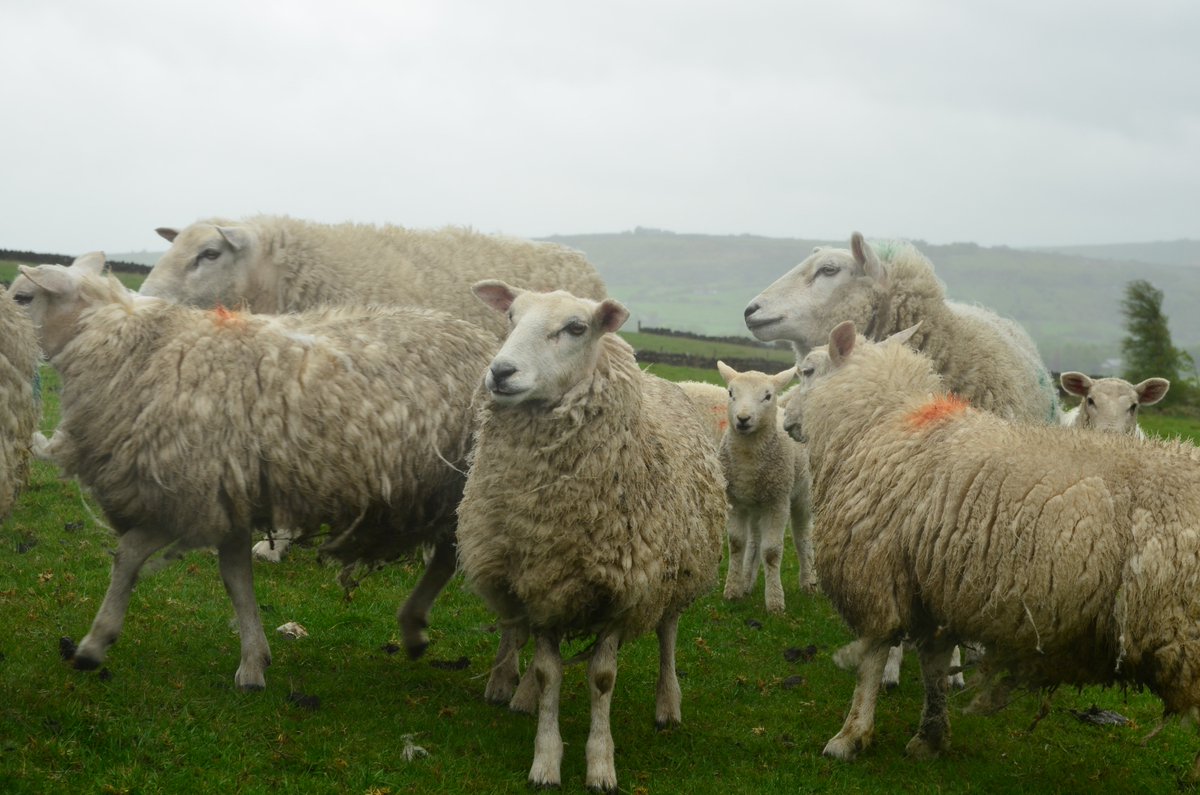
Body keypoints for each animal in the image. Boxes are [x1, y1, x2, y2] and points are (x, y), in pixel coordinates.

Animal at [7, 253, 498, 690]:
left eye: (23, 297)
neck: (135, 345)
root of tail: (487, 342)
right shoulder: (227, 498)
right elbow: (236, 581)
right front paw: (253, 664)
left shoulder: (188, 494)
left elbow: (127, 555)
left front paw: (94, 645)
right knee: (450, 555)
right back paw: (415, 629)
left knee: (456, 554)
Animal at [455, 282, 726, 792]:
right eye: (511, 317)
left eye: (577, 328)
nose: (500, 372)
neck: (553, 515)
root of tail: (661, 380)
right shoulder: (539, 583)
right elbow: (548, 673)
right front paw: (545, 758)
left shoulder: (624, 593)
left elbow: (602, 679)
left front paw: (601, 763)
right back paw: (519, 693)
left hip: (677, 575)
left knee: (668, 634)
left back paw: (668, 704)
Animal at [793, 319, 1200, 769]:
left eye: (807, 370)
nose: (786, 420)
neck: (885, 422)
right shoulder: (933, 583)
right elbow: (934, 666)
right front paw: (931, 736)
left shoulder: (874, 566)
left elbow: (871, 658)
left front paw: (850, 736)